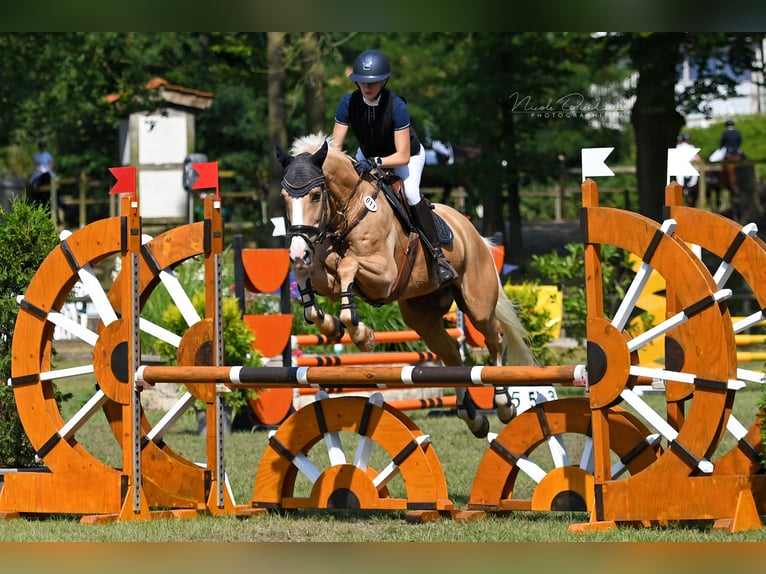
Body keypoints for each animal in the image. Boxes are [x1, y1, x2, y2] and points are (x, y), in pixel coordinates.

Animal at [274, 134, 536, 440]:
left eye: (316, 195)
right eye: (284, 197)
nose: (297, 251)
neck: (350, 210)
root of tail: (471, 231)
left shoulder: (384, 276)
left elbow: (347, 265)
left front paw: (362, 334)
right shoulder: (325, 273)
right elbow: (310, 274)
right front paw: (332, 325)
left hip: (477, 305)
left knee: (494, 338)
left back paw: (504, 404)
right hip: (422, 316)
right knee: (450, 352)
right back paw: (472, 418)